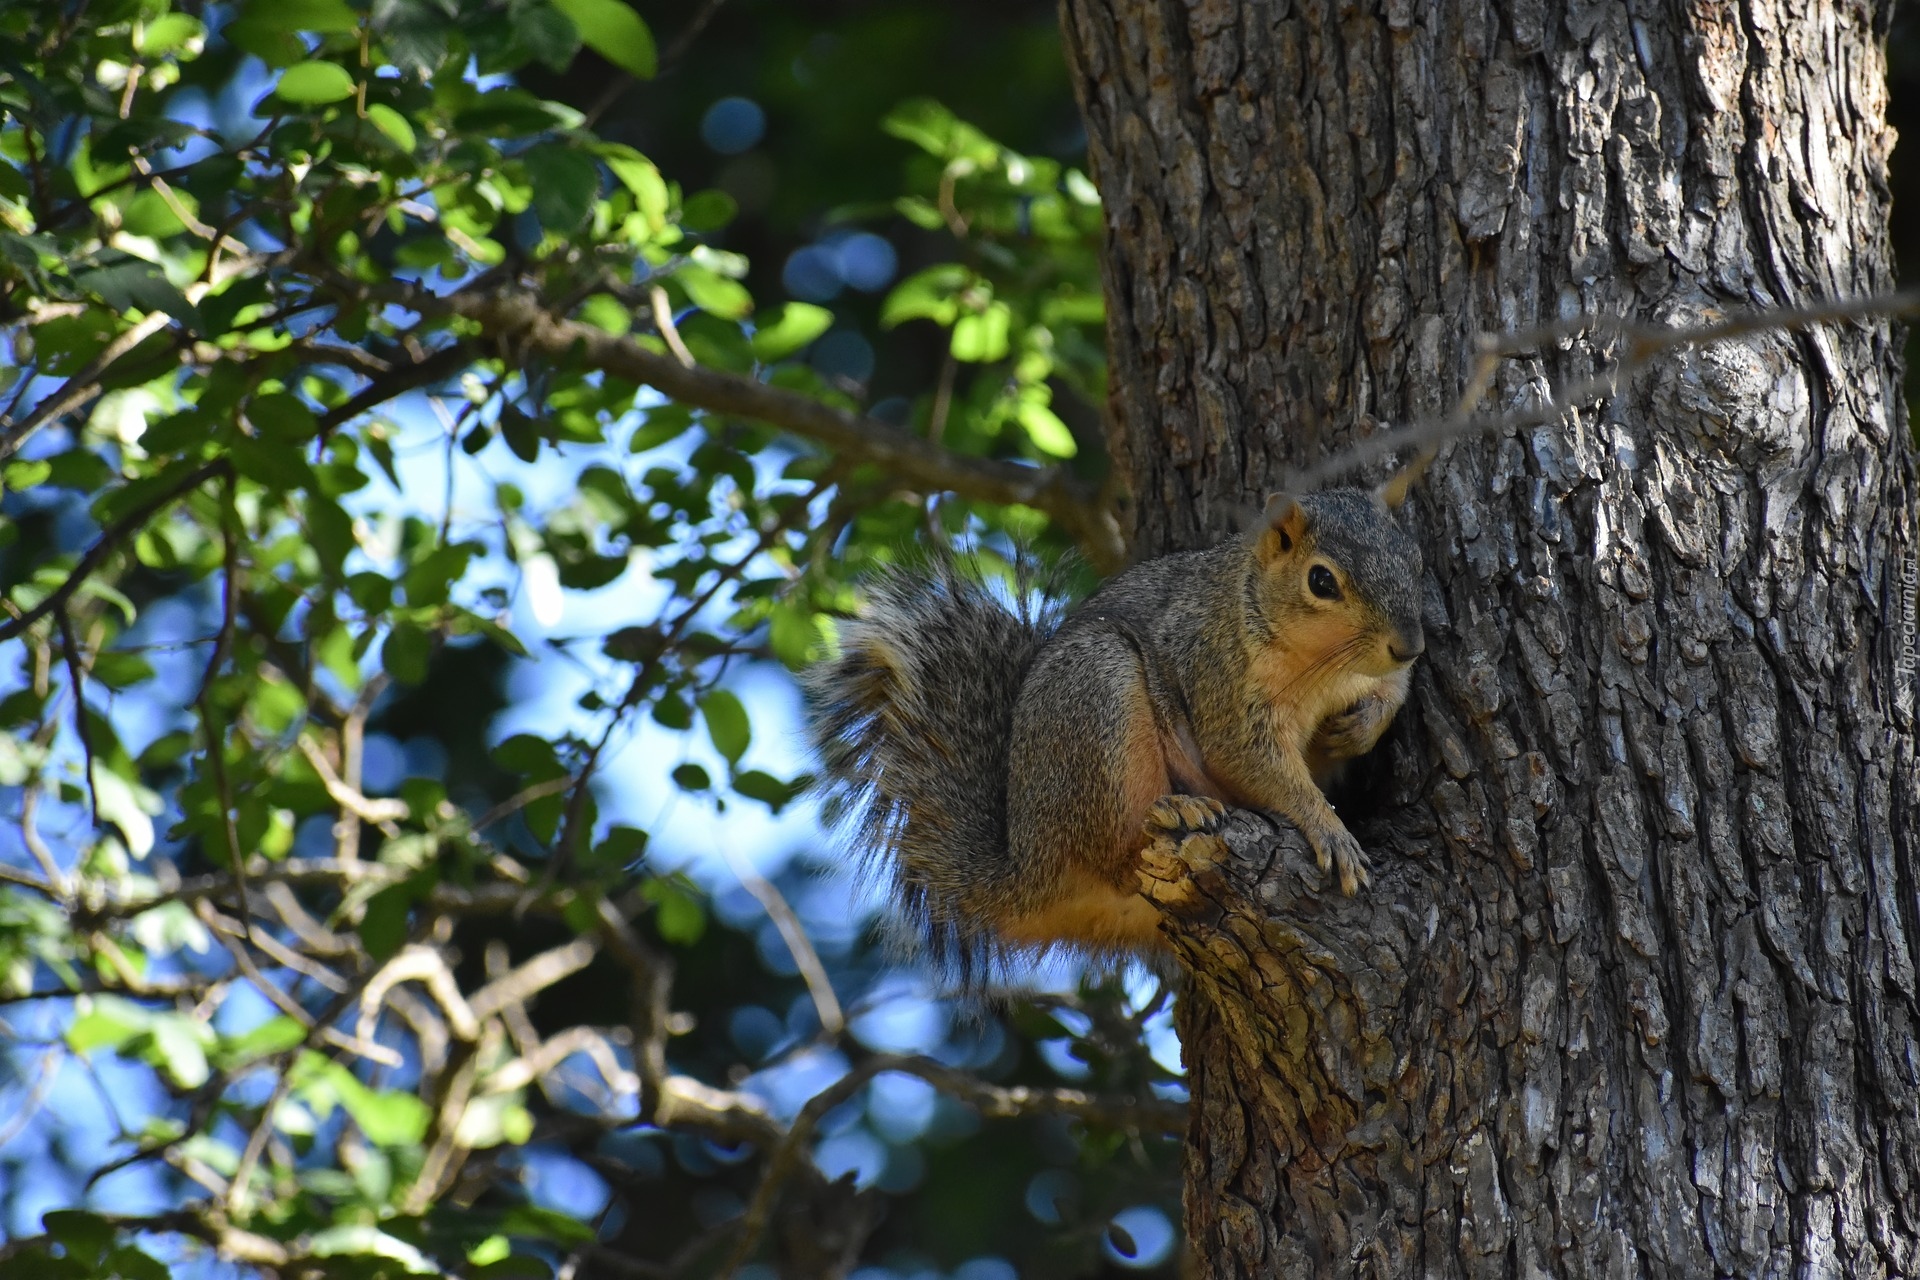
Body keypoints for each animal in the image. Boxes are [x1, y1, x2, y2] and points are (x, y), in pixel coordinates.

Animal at [806, 475, 1428, 967]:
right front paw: (1329, 829)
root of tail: (1027, 869)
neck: (1325, 667)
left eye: (1412, 556)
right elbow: (1252, 762)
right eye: (1321, 581)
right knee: (1113, 857)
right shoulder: (1220, 677)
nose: (1410, 644)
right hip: (1097, 699)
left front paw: (1360, 728)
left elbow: (1392, 692)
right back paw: (1177, 811)